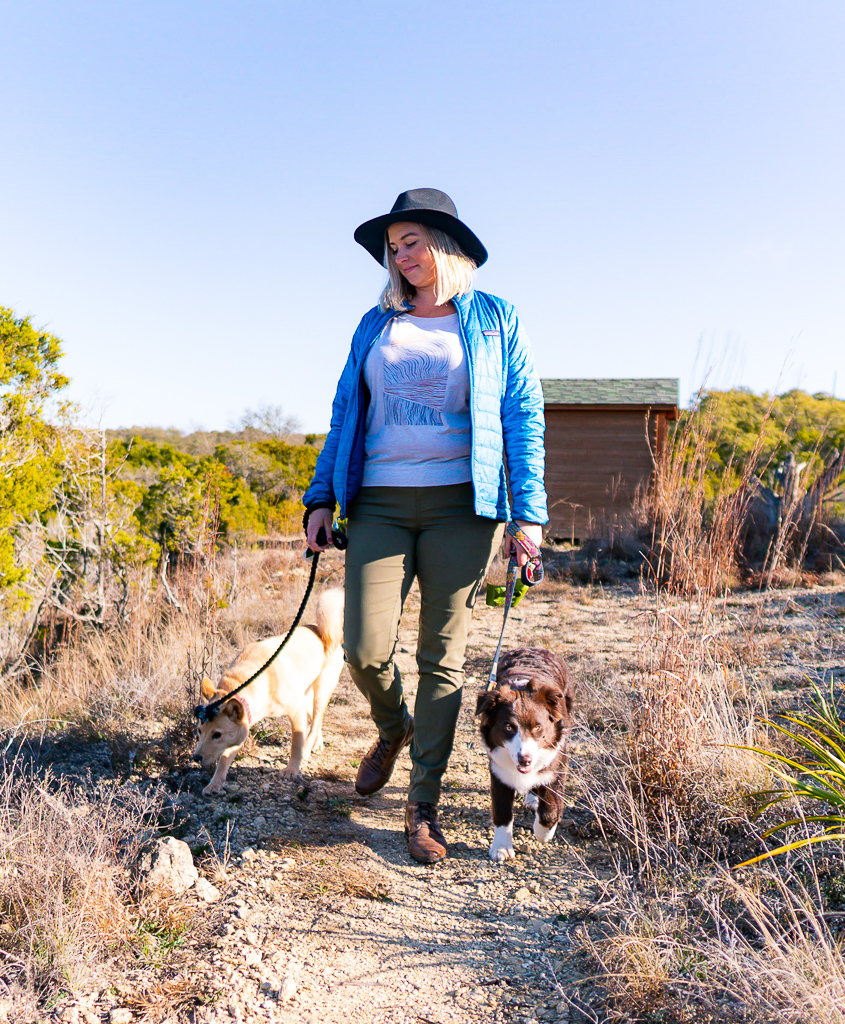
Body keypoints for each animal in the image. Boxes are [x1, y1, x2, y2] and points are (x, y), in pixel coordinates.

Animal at [192, 585, 344, 790]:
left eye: (217, 735)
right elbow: (224, 759)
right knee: (316, 719)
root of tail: (319, 629)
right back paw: (317, 743)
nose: (196, 757)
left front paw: (292, 770)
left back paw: (308, 748)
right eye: (200, 731)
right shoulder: (243, 726)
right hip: (307, 697)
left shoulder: (296, 713)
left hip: (320, 693)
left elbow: (296, 744)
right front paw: (214, 785)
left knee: (315, 722)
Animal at [475, 651, 573, 860]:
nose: (525, 760)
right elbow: (502, 811)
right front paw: (501, 848)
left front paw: (543, 833)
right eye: (508, 727)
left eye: (537, 727)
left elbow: (551, 808)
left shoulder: (557, 763)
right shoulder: (498, 769)